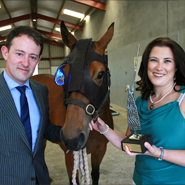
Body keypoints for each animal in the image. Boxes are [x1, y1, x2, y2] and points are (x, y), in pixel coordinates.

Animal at [30, 21, 114, 184]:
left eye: (101, 74)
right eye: (63, 74)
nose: (72, 138)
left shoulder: (100, 152)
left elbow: (95, 175)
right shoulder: (69, 156)